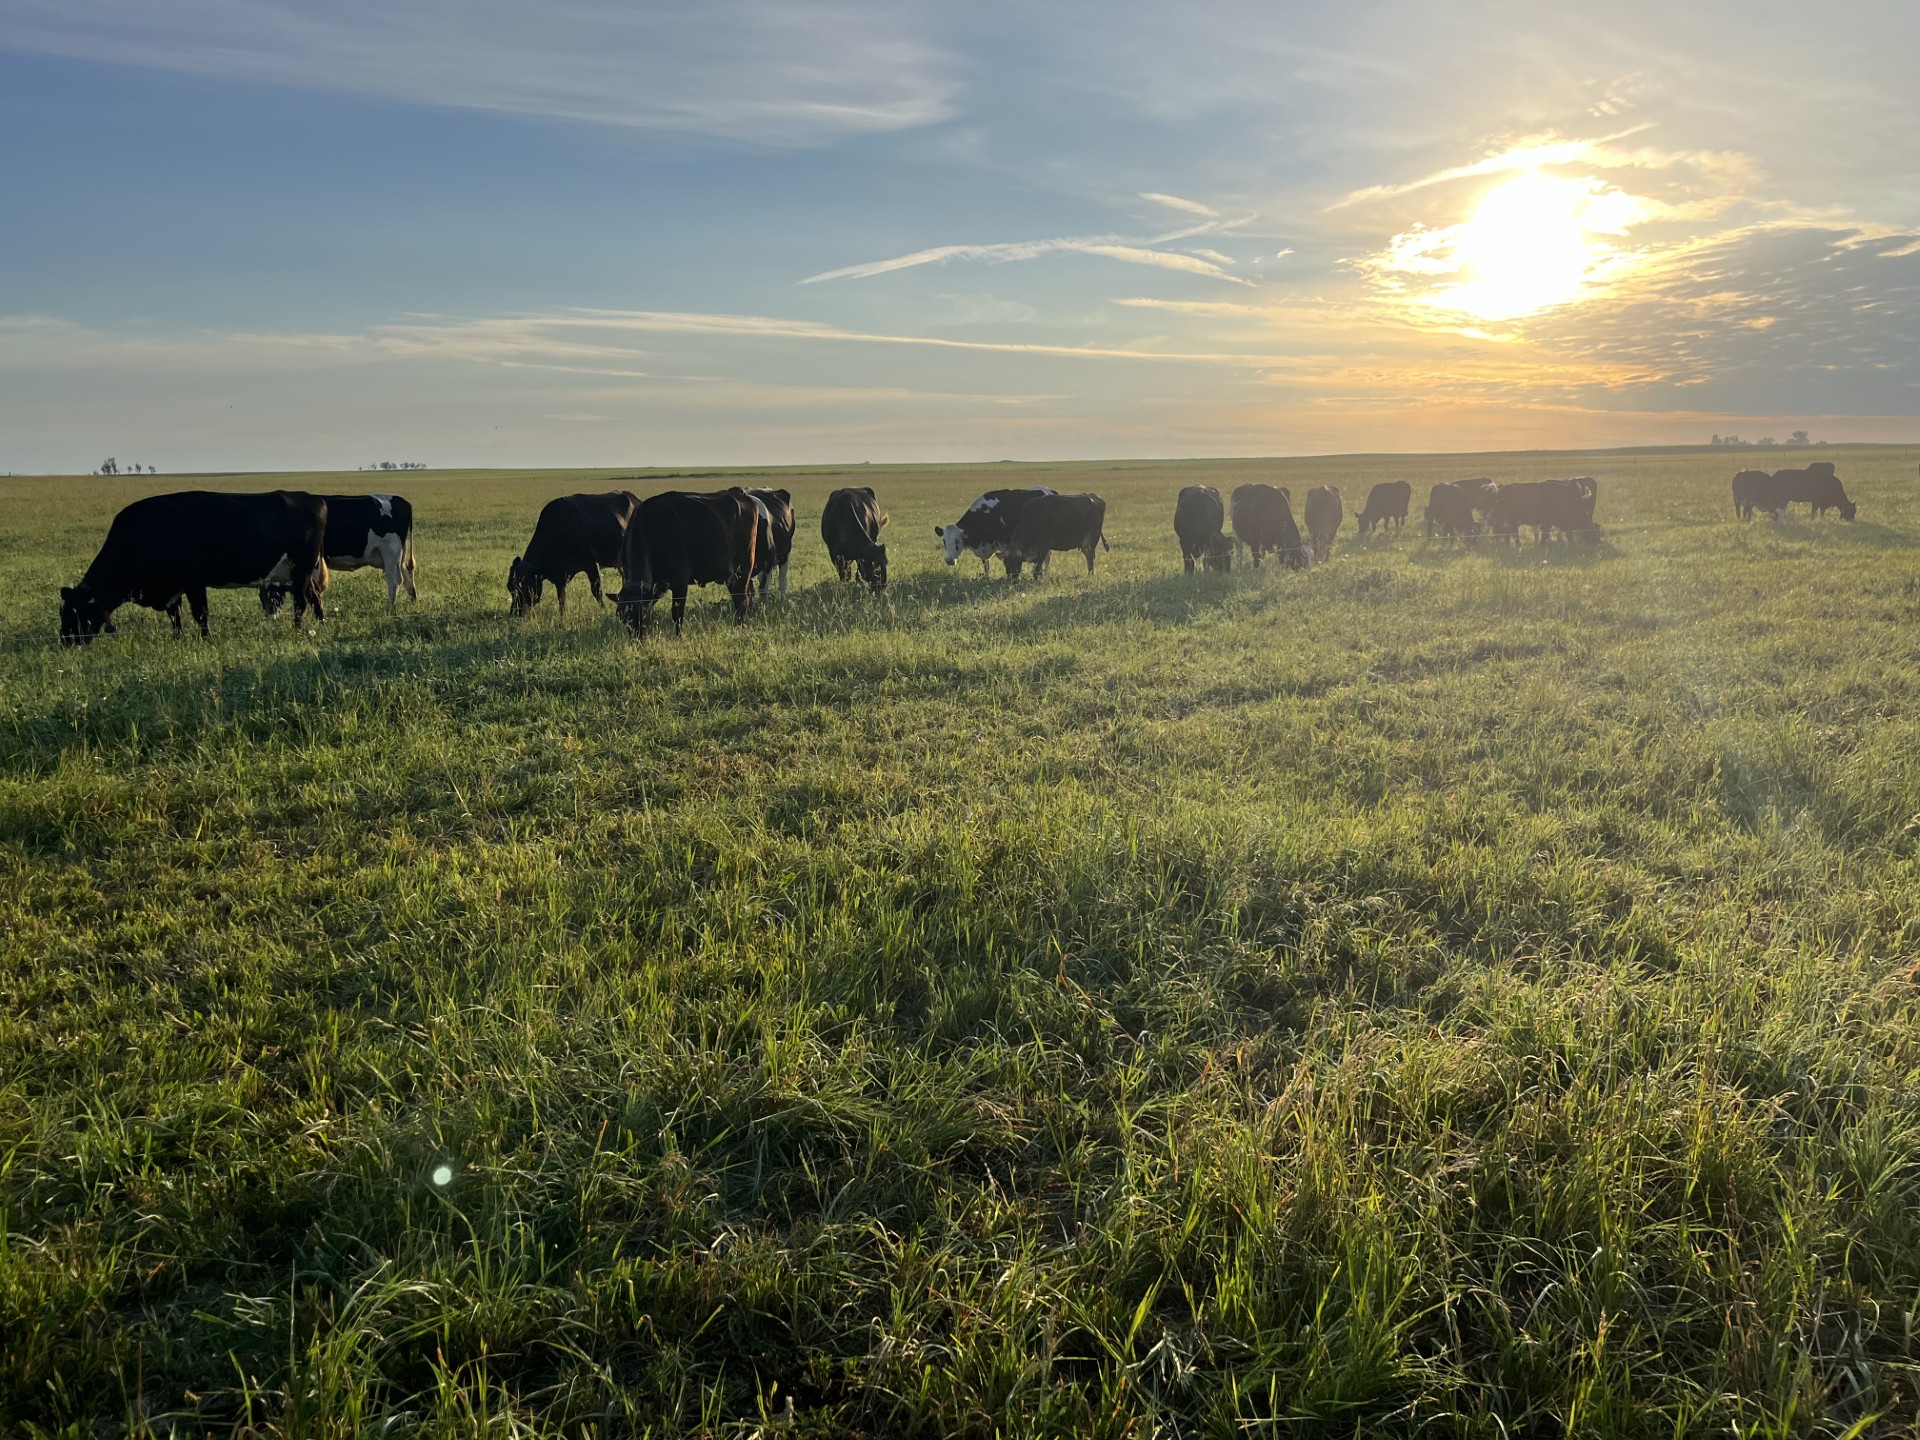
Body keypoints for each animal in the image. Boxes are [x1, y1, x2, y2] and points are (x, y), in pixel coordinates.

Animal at [60, 490, 329, 644]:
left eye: (76, 612)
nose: (66, 641)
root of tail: (313, 498)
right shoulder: (172, 586)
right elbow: (175, 614)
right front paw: (177, 638)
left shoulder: (193, 581)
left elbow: (200, 613)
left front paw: (205, 638)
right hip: (297, 572)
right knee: (313, 596)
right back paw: (321, 623)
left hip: (300, 567)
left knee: (301, 602)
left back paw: (297, 630)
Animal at [259, 492, 416, 615]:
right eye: (262, 598)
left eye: (269, 595)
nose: (270, 617)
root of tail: (404, 502)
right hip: (399, 554)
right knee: (407, 575)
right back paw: (412, 602)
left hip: (390, 551)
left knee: (394, 580)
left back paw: (390, 607)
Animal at [507, 491, 638, 617]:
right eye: (510, 588)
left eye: (521, 587)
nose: (513, 614)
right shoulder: (559, 575)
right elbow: (561, 598)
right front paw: (562, 617)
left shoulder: (591, 564)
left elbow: (597, 591)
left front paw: (603, 610)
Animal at [613, 489, 759, 636]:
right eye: (622, 617)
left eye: (642, 614)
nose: (637, 636)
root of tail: (743, 497)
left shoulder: (680, 583)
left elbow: (677, 614)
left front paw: (678, 636)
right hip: (731, 576)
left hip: (743, 568)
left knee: (742, 599)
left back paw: (741, 626)